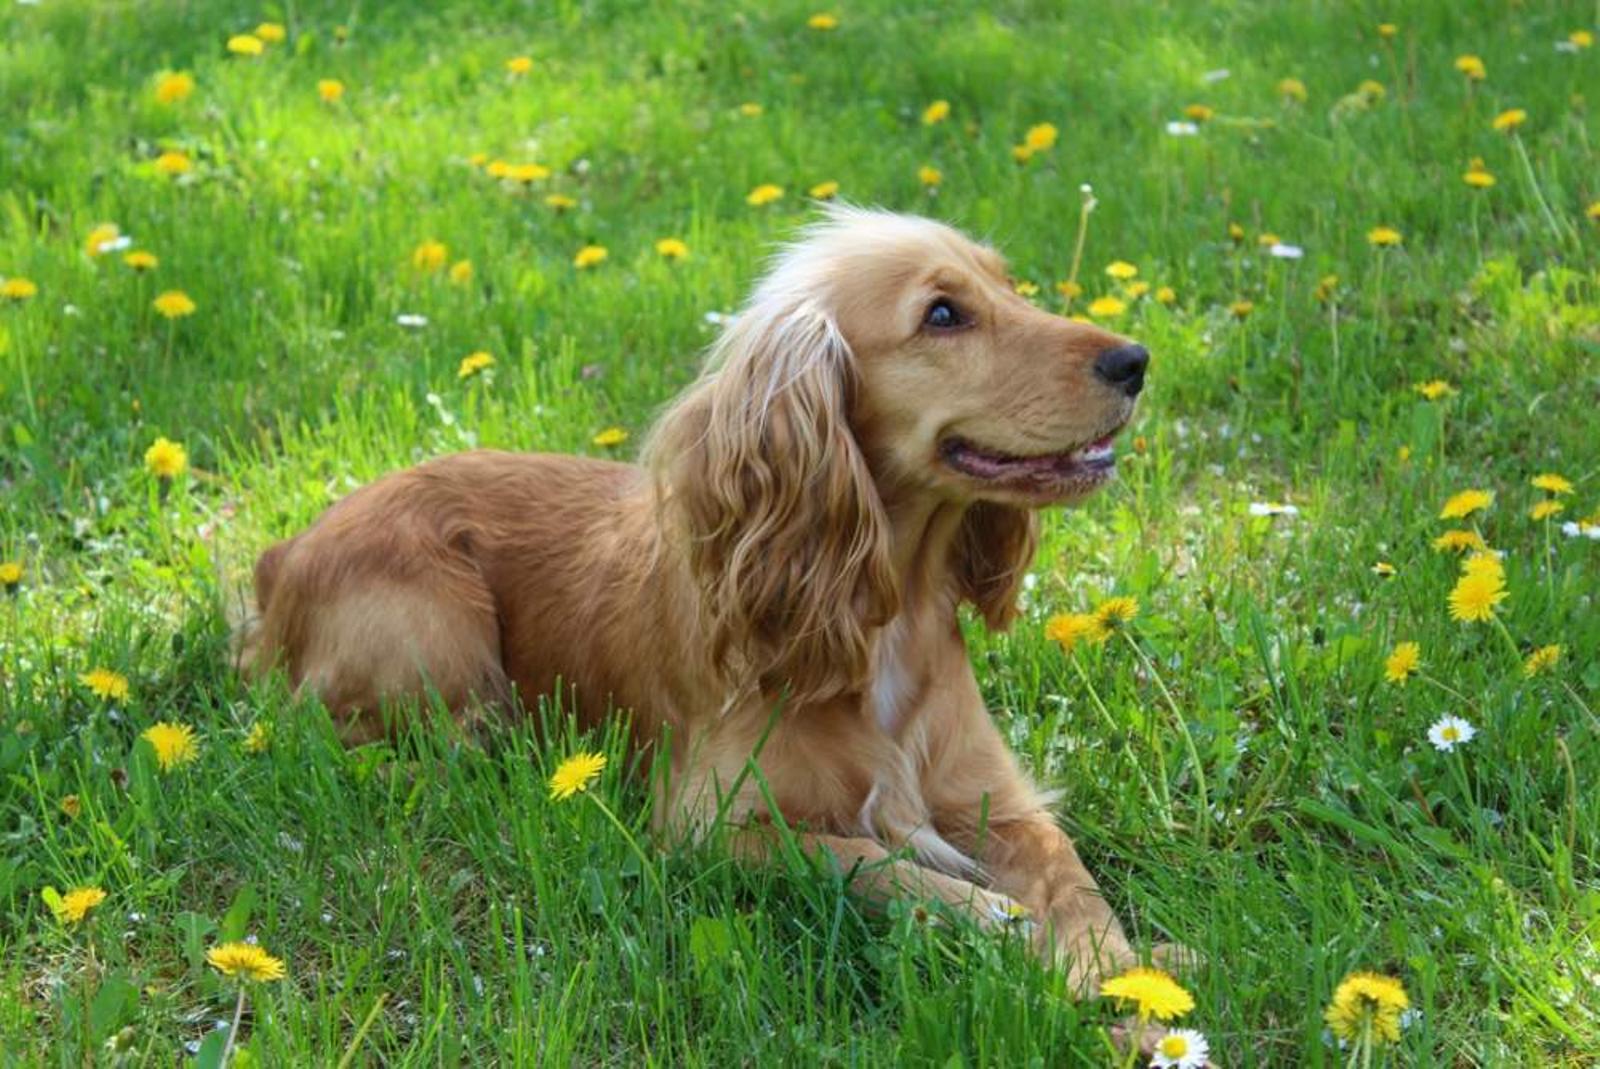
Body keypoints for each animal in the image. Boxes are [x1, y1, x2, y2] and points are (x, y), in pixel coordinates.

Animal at [236, 208, 1158, 992]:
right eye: (941, 315)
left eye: (1009, 286)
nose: (1136, 362)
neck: (882, 612)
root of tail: (284, 553)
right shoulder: (712, 826)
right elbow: (860, 855)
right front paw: (994, 916)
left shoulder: (997, 799)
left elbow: (1076, 884)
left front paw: (1120, 975)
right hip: (441, 633)